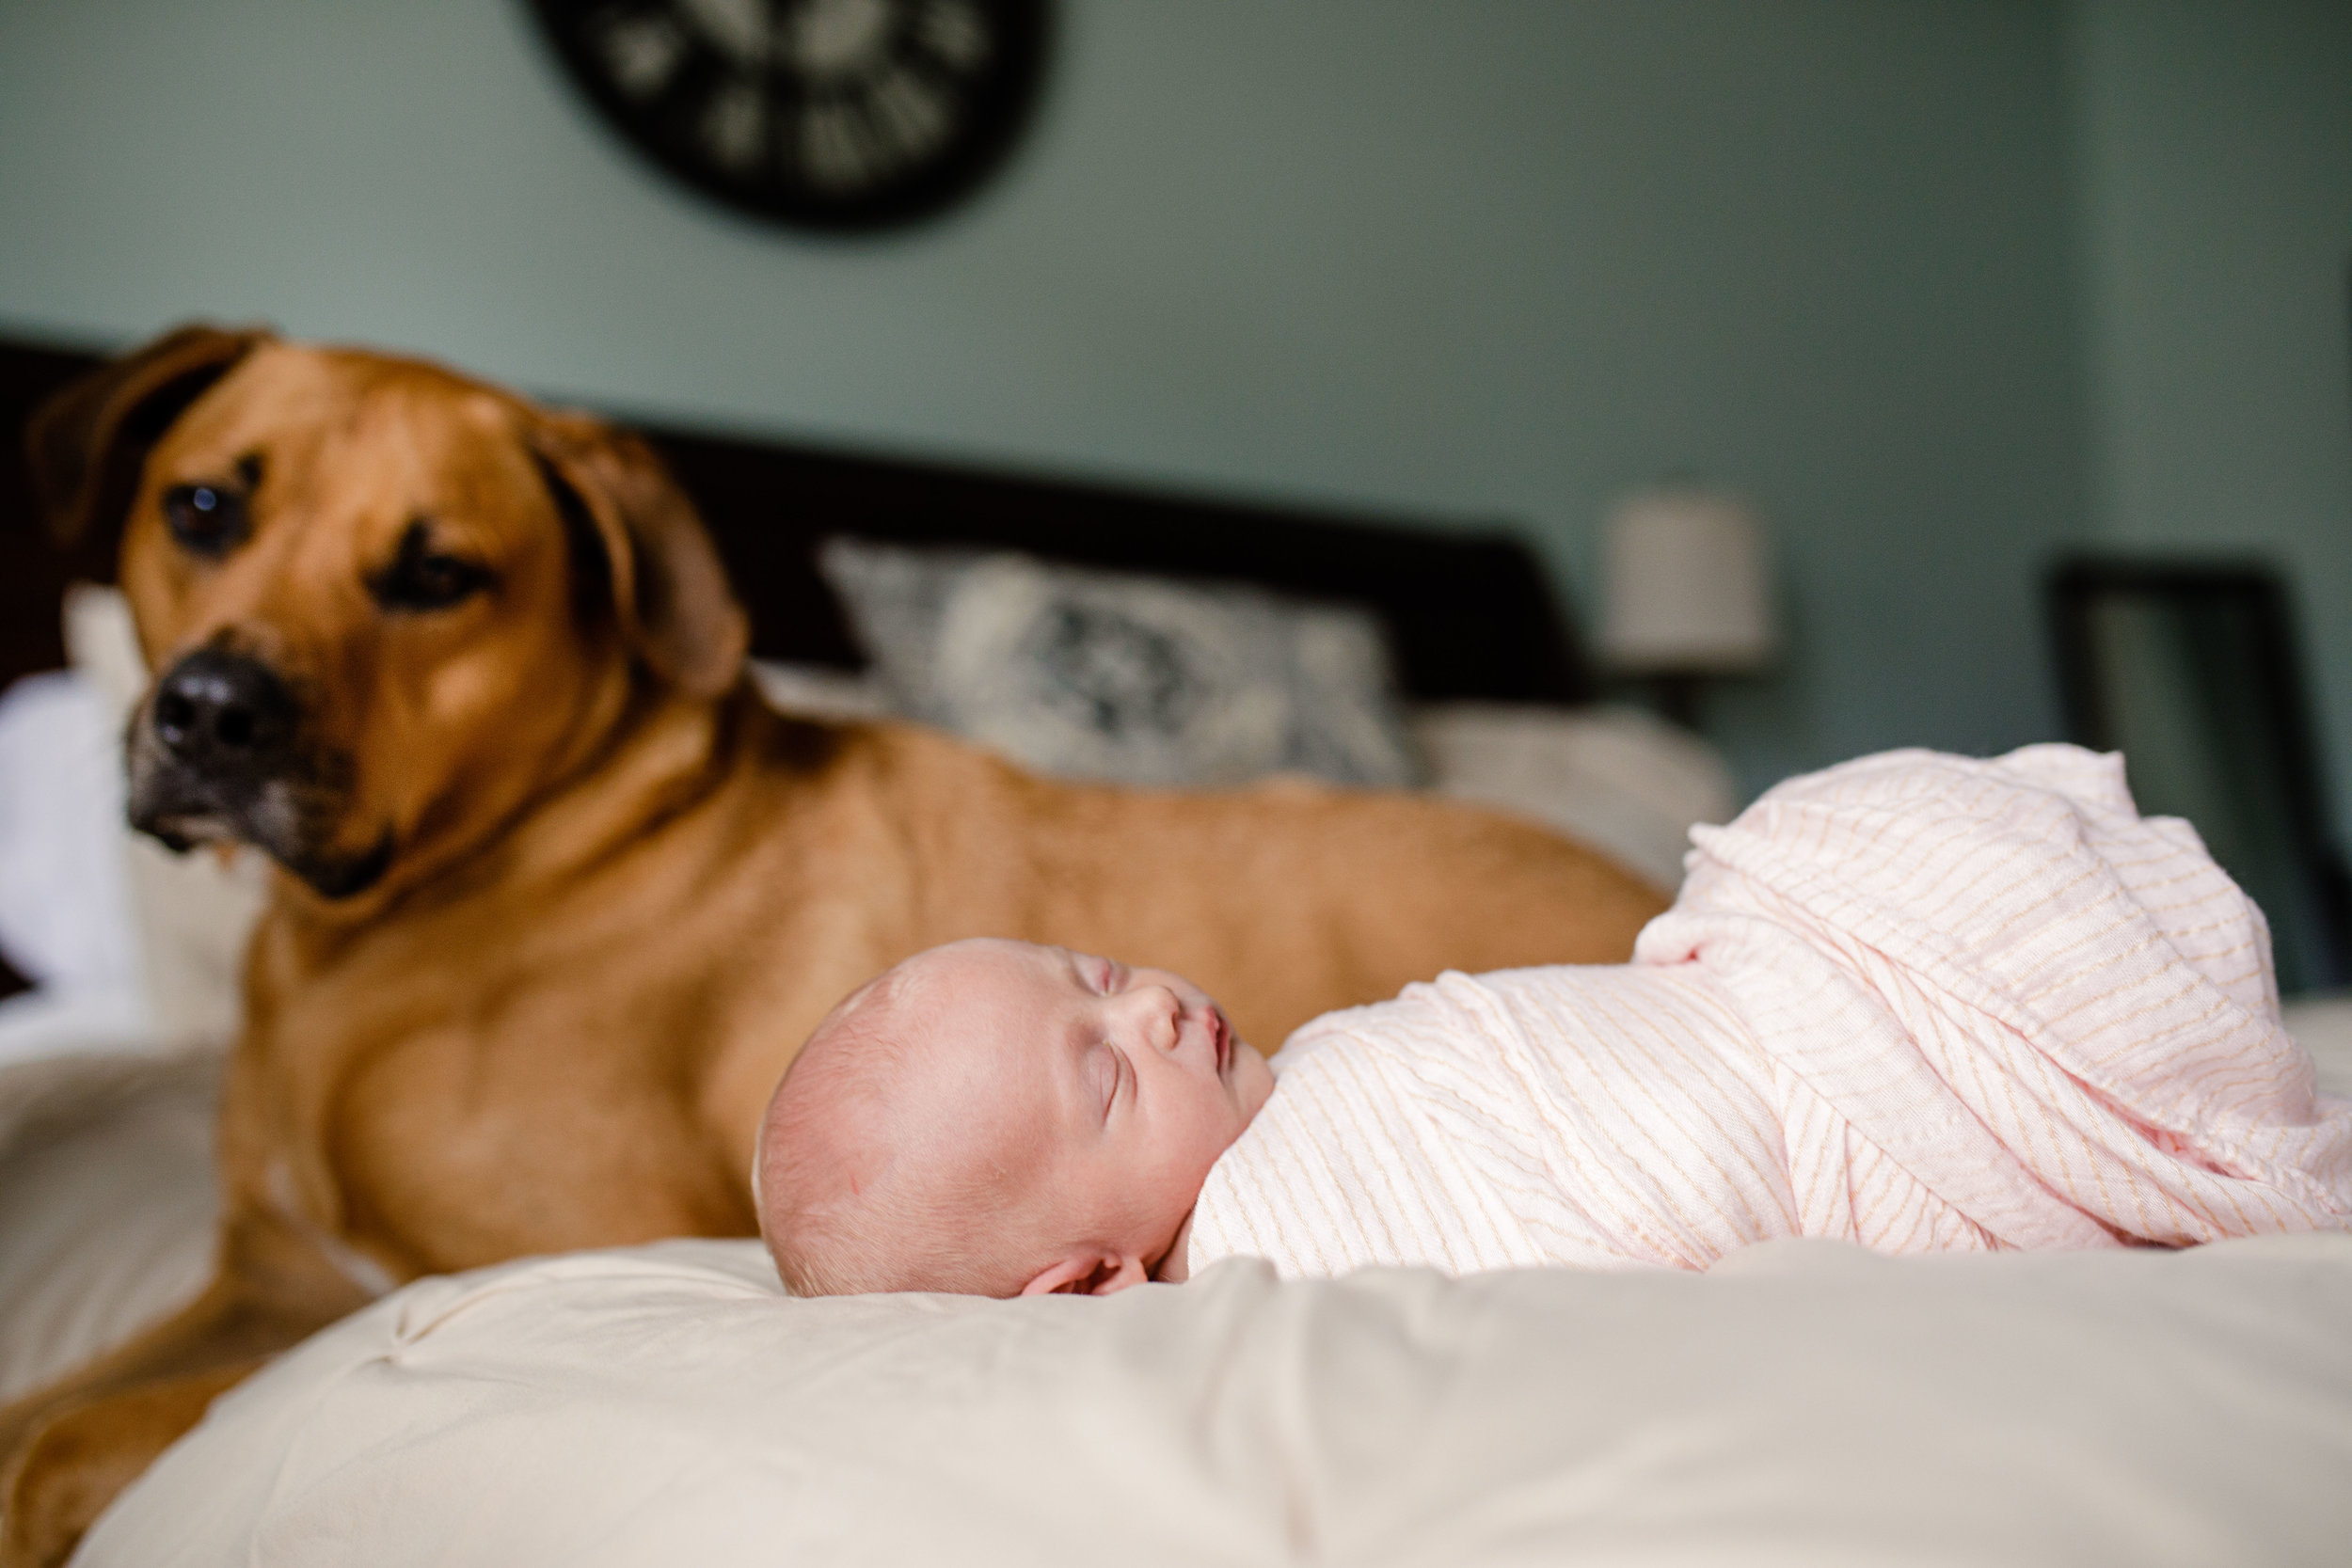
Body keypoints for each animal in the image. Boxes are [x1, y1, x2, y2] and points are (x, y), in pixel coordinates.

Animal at [0, 324, 1665, 1560]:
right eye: (203, 508)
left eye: (437, 574)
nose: (214, 713)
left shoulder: (474, 1271)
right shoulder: (270, 1277)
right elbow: (46, 1401)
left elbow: (81, 1431)